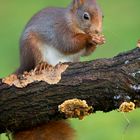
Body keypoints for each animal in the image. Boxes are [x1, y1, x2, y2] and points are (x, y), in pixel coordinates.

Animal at [13, 0, 105, 140]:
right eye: (86, 16)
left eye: (103, 16)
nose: (97, 30)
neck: (71, 20)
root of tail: (22, 64)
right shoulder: (60, 30)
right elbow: (68, 44)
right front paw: (89, 38)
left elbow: (86, 52)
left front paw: (98, 39)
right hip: (31, 46)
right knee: (36, 62)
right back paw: (42, 64)